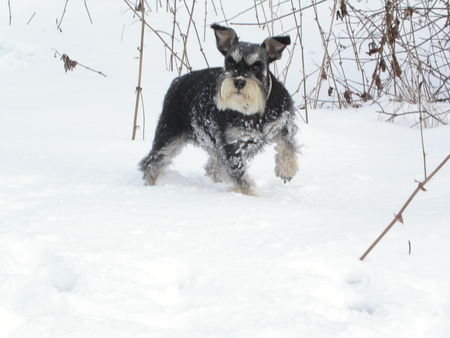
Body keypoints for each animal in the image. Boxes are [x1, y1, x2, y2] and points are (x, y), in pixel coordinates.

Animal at [138, 23, 298, 194]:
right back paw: (150, 187)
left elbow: (288, 146)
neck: (252, 112)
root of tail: (177, 81)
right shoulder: (232, 147)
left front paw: (286, 170)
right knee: (151, 163)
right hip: (169, 136)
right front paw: (250, 196)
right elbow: (241, 179)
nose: (239, 81)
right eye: (231, 63)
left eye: (257, 66)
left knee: (212, 167)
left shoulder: (283, 124)